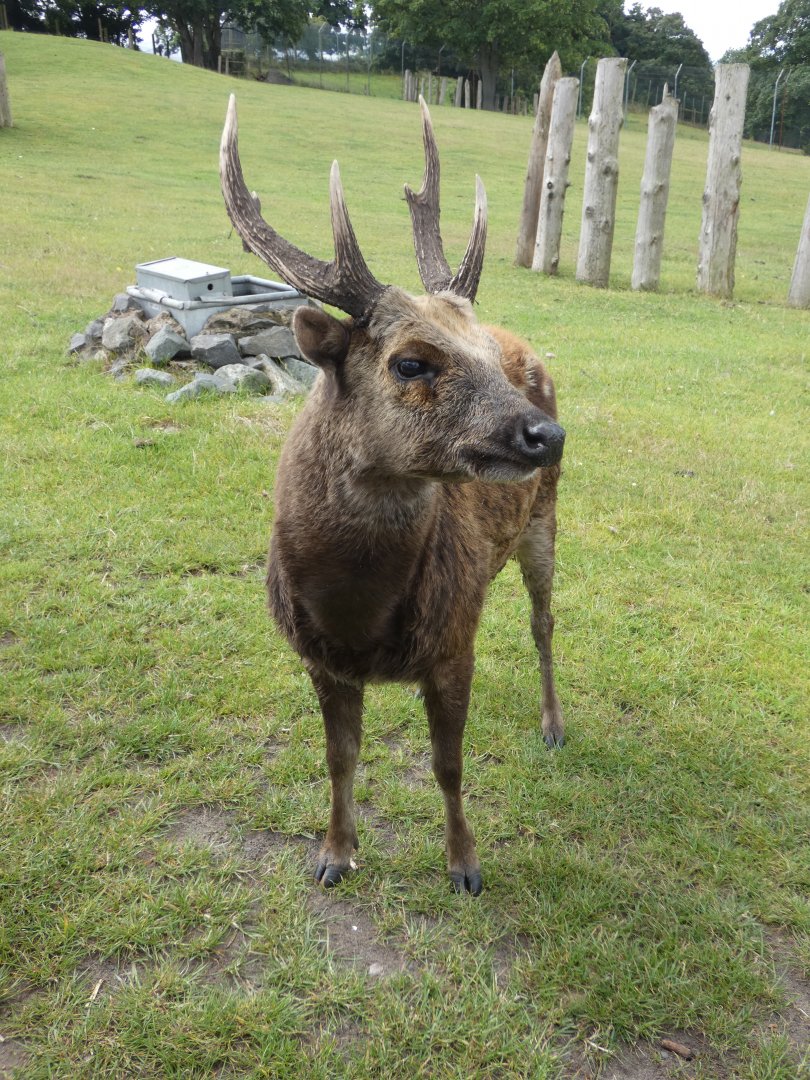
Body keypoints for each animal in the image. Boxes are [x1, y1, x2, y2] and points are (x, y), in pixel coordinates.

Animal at [220, 94, 565, 896]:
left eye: (486, 356)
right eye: (411, 362)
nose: (547, 435)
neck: (358, 616)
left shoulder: (453, 644)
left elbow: (448, 766)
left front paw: (464, 865)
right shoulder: (317, 658)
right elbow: (339, 758)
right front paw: (334, 853)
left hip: (547, 518)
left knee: (543, 623)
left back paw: (552, 725)